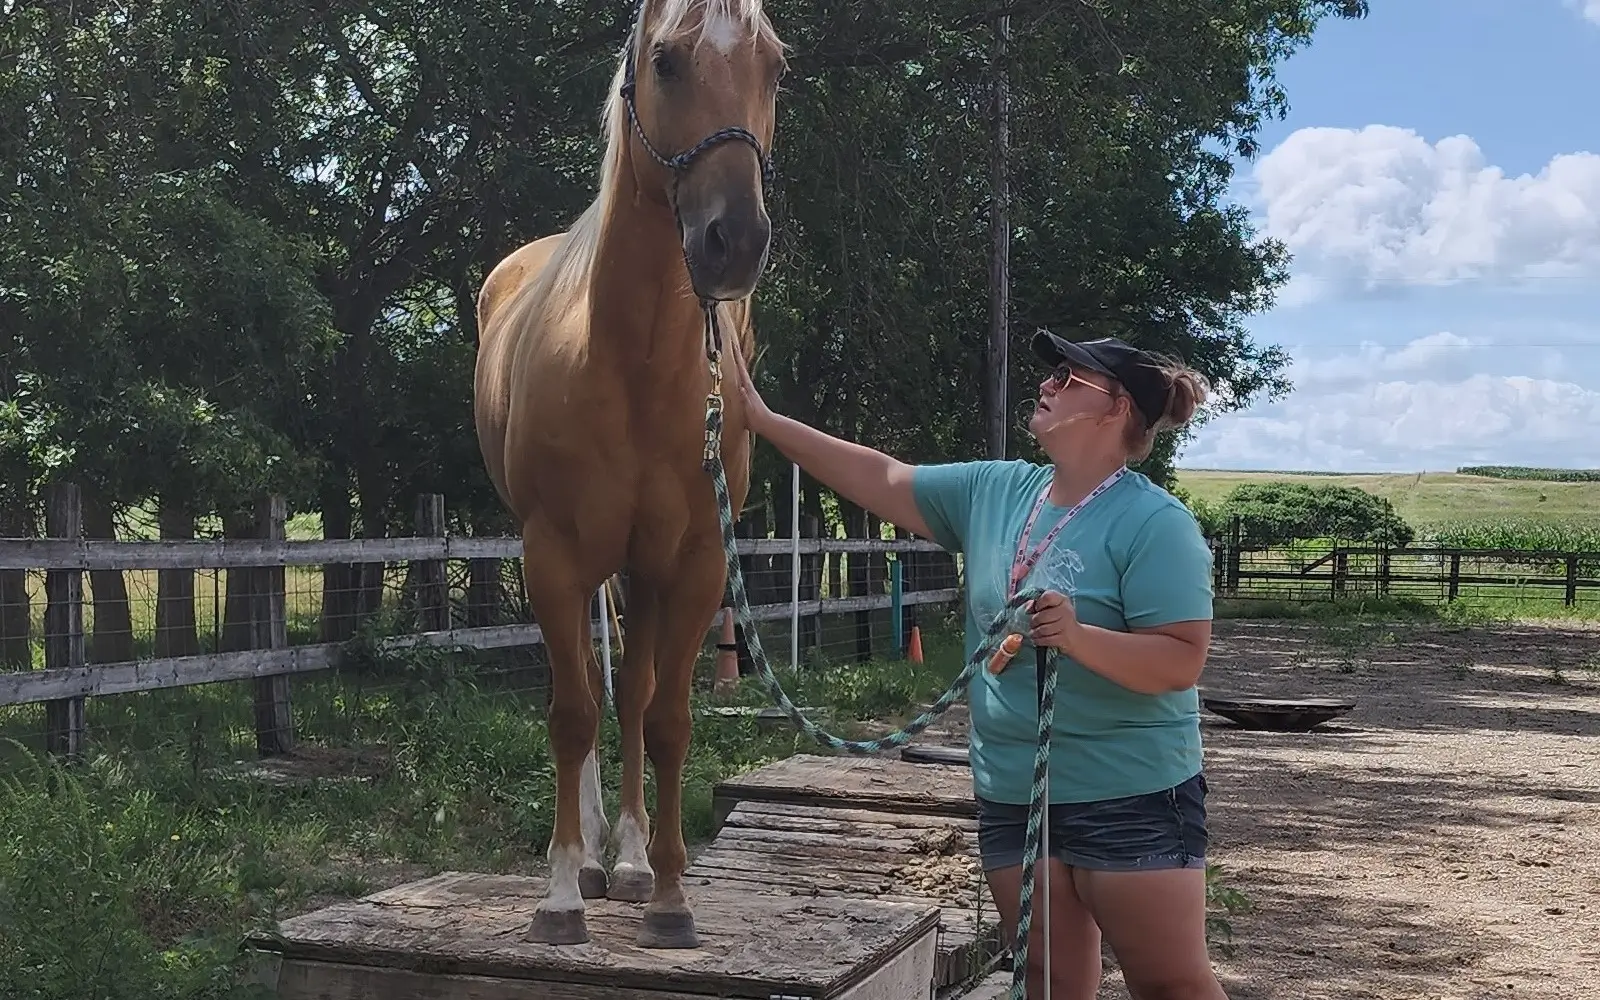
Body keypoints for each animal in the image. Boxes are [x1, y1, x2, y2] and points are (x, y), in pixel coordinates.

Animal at [472, 0, 786, 951]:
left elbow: (667, 718)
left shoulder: (692, 564)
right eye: (667, 61)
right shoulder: (553, 554)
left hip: (643, 571)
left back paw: (636, 859)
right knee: (582, 685)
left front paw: (671, 897)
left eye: (775, 67)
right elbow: (572, 712)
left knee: (638, 697)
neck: (635, 364)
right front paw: (561, 893)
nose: (734, 241)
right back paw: (587, 855)